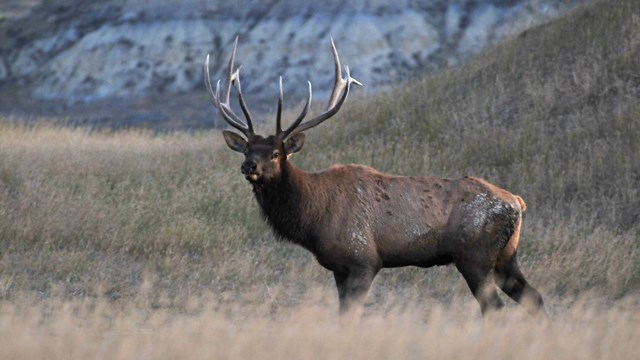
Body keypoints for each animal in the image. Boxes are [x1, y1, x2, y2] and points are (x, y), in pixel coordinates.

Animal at [204, 37, 544, 318]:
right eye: (246, 150)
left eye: (275, 153)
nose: (250, 167)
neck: (313, 218)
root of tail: (517, 202)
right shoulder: (338, 269)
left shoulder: (363, 260)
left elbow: (350, 316)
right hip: (506, 255)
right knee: (534, 297)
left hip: (475, 255)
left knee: (495, 307)